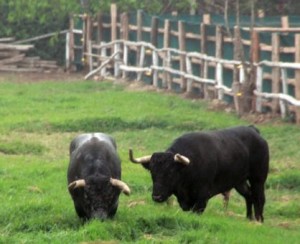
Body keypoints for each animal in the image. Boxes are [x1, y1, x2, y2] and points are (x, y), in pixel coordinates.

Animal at [129, 125, 270, 222]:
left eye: (171, 171)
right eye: (152, 171)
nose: (157, 197)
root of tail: (253, 130)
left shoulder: (202, 197)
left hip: (258, 178)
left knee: (260, 198)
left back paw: (259, 220)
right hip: (239, 181)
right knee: (249, 195)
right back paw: (249, 218)